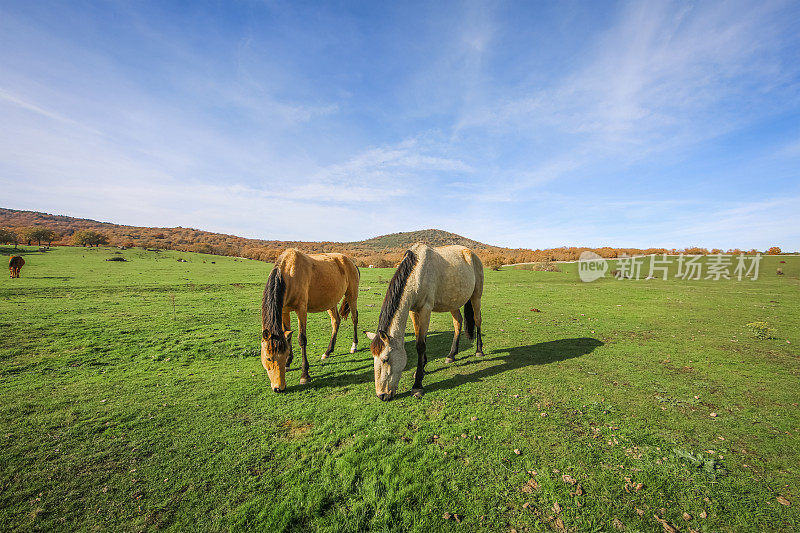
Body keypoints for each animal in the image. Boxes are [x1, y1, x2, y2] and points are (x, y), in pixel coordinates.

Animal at [260, 248, 360, 390]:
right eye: (268, 358)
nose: (279, 388)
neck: (289, 274)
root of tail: (351, 263)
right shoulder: (284, 310)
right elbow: (288, 336)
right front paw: (288, 363)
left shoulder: (301, 310)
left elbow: (302, 339)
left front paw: (304, 375)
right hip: (331, 302)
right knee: (336, 321)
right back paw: (328, 351)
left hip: (352, 295)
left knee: (354, 318)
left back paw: (354, 345)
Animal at [366, 243, 484, 402]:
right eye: (373, 359)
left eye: (386, 359)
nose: (382, 395)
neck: (417, 272)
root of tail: (471, 254)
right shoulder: (413, 311)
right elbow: (421, 339)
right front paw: (421, 368)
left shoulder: (425, 310)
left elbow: (420, 345)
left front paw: (418, 385)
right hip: (453, 303)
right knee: (458, 323)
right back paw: (451, 355)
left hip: (476, 297)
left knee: (478, 320)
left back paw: (479, 351)